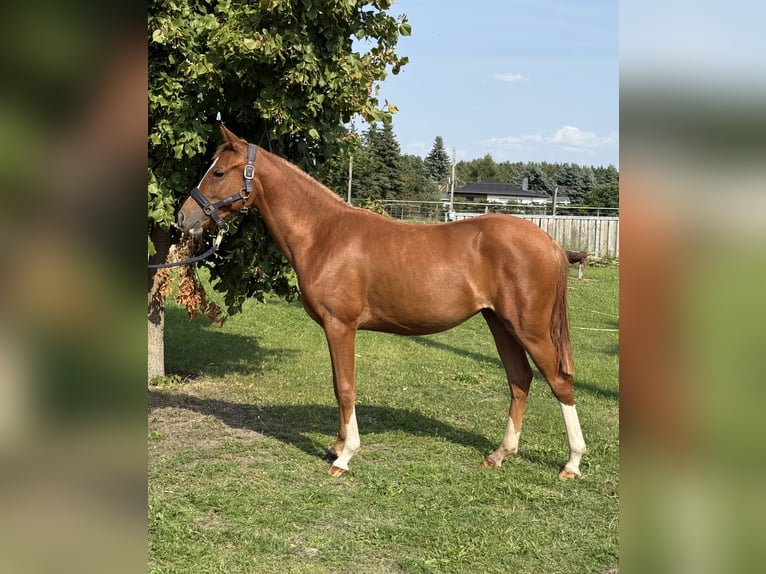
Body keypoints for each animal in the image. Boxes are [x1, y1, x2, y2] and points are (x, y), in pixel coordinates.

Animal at [177, 125, 586, 479]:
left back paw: (572, 462)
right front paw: (336, 445)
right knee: (520, 379)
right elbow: (336, 384)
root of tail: (550, 244)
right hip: (500, 324)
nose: (184, 217)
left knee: (559, 381)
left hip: (529, 329)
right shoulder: (334, 330)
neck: (324, 234)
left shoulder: (341, 326)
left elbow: (346, 387)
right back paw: (500, 454)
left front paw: (344, 456)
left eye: (218, 172)